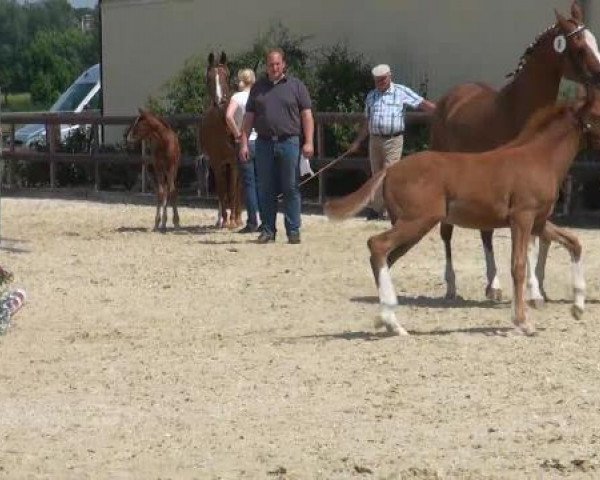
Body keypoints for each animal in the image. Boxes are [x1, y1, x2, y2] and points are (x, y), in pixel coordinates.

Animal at [198, 51, 243, 228]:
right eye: (209, 78)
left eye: (227, 76)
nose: (220, 101)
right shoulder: (216, 163)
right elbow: (221, 191)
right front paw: (223, 218)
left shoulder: (234, 162)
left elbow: (232, 190)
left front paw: (232, 220)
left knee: (237, 188)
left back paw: (238, 218)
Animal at [326, 88, 600, 340]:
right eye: (598, 114)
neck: (539, 158)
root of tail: (390, 170)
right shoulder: (522, 218)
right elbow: (518, 266)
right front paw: (523, 322)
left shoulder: (539, 221)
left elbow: (574, 242)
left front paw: (577, 307)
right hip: (417, 221)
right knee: (378, 245)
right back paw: (392, 320)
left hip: (410, 226)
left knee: (385, 258)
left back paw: (392, 323)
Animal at [428, 3, 600, 302]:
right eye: (579, 46)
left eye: (594, 41)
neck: (518, 110)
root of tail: (449, 99)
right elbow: (526, 238)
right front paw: (533, 290)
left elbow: (539, 236)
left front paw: (538, 286)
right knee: (448, 231)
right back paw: (452, 285)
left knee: (484, 233)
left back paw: (493, 285)